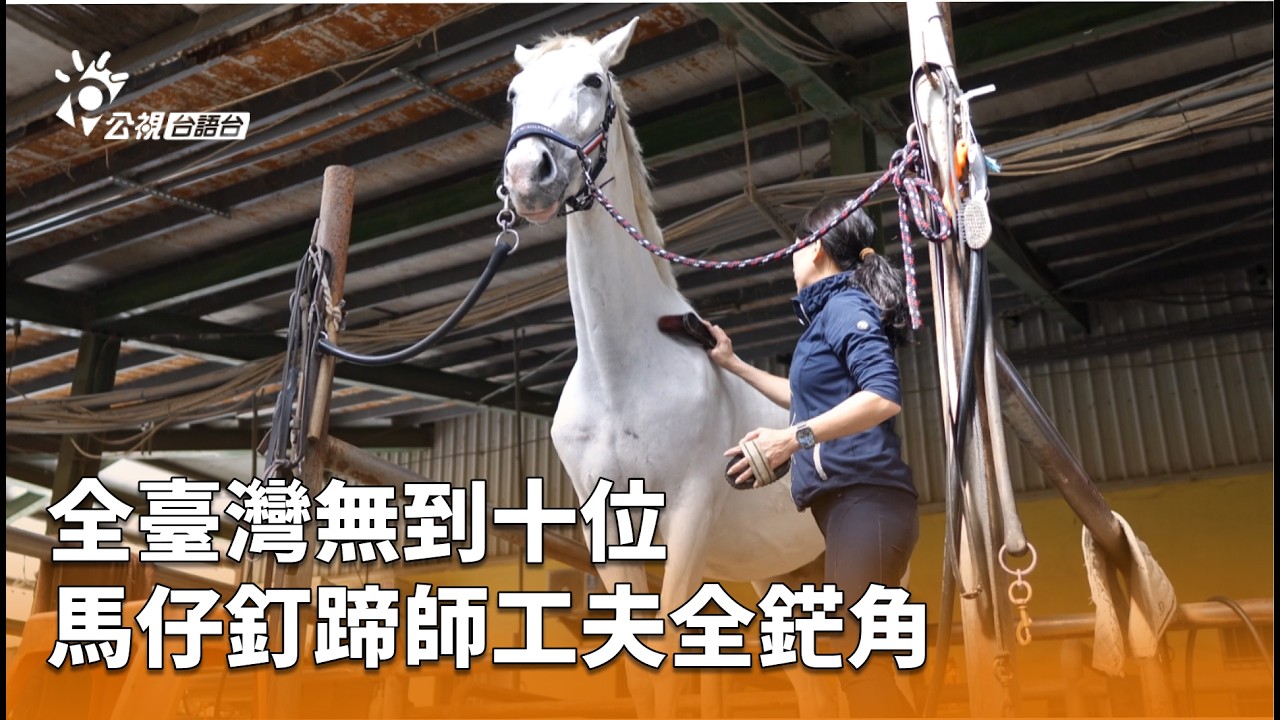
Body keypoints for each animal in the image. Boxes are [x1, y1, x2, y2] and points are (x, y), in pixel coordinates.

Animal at [501, 18, 833, 717]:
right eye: (514, 93)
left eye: (593, 80)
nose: (527, 174)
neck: (621, 374)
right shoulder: (611, 536)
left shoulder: (687, 512)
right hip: (772, 575)